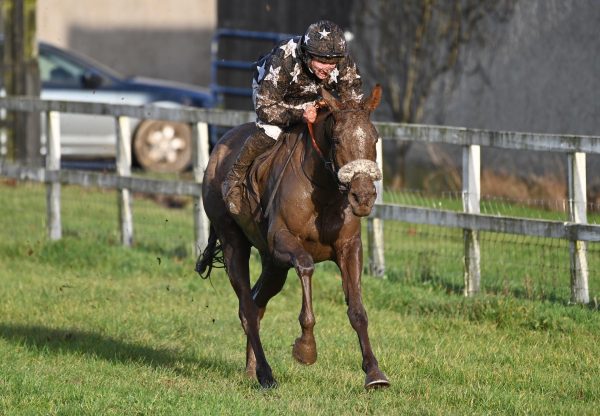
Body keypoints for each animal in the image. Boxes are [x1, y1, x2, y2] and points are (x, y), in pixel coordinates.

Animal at [195, 84, 390, 390]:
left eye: (375, 137)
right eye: (336, 139)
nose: (363, 196)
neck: (323, 190)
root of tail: (216, 153)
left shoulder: (348, 247)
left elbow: (357, 310)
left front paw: (374, 373)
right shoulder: (281, 241)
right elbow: (306, 266)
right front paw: (306, 348)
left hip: (273, 266)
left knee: (256, 304)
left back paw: (251, 369)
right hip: (233, 242)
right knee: (247, 308)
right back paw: (265, 373)